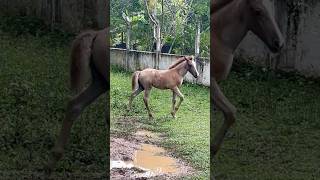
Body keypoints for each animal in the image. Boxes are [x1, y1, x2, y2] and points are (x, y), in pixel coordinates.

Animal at [211, 0, 284, 156]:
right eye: (257, 11)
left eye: (272, 10)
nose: (279, 44)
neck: (219, 37)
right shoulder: (212, 83)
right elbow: (231, 113)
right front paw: (212, 149)